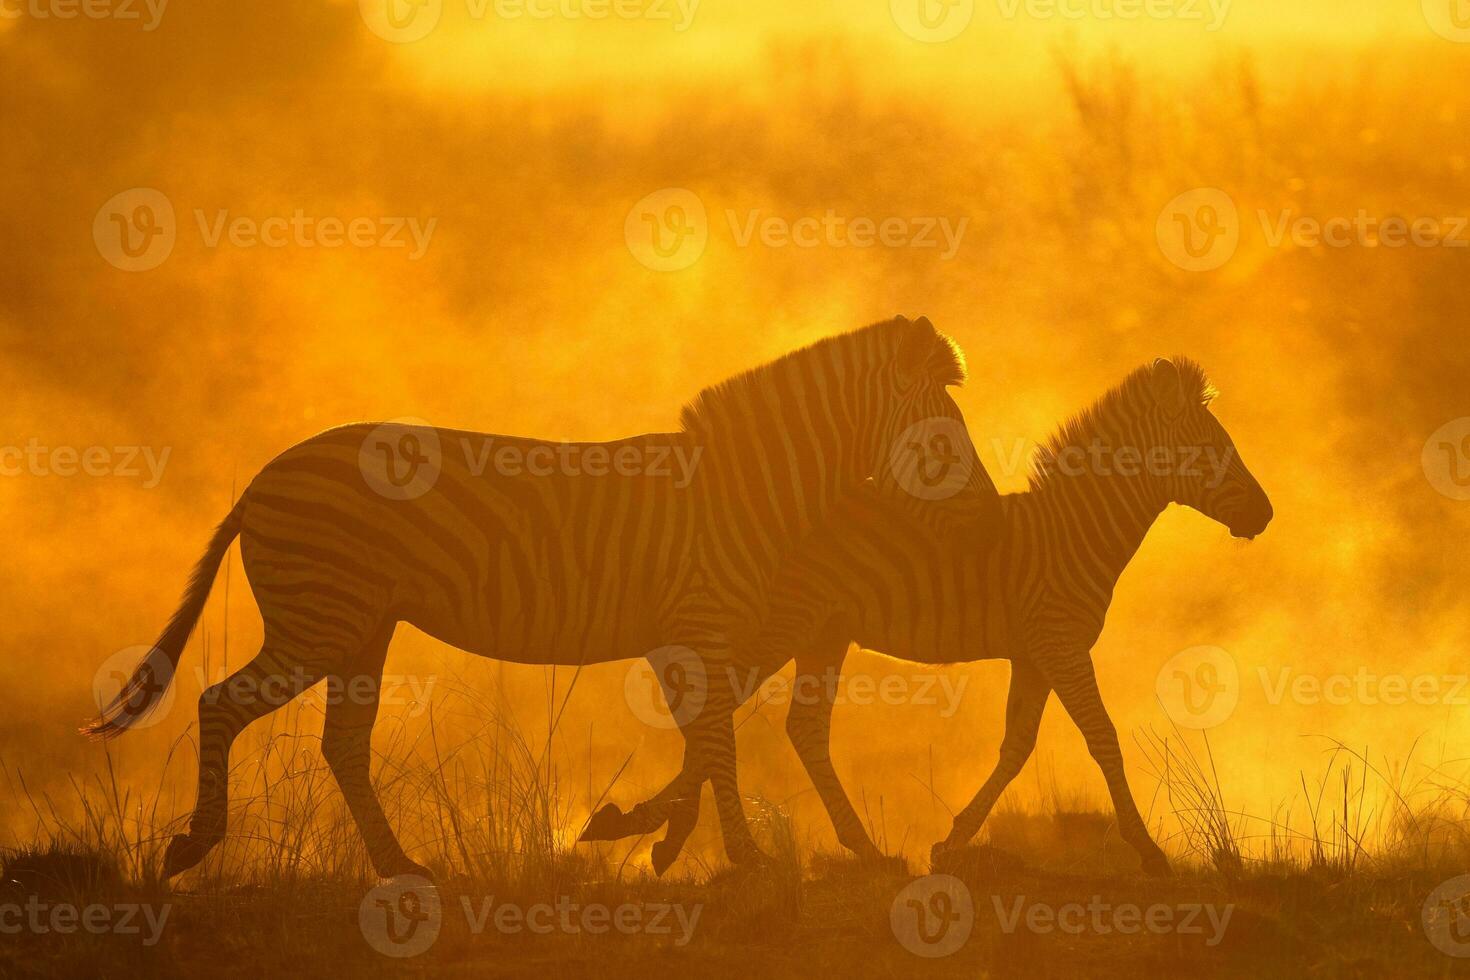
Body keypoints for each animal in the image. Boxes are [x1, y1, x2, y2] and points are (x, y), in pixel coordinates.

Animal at [85, 315, 1005, 881]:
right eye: (946, 438)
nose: (992, 518)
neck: (743, 492)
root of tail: (262, 476)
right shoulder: (698, 627)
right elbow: (717, 743)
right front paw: (741, 859)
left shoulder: (680, 638)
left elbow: (706, 743)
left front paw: (654, 838)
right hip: (320, 621)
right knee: (220, 703)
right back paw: (194, 847)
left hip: (361, 628)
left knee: (341, 743)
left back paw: (400, 867)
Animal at [626, 358, 1270, 875]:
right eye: (1212, 449)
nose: (1266, 514)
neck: (1073, 533)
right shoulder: (1061, 643)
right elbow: (1102, 738)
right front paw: (1148, 851)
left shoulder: (1034, 653)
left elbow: (1016, 747)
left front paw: (952, 840)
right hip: (784, 623)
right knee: (716, 708)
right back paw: (659, 827)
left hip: (822, 632)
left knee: (792, 726)